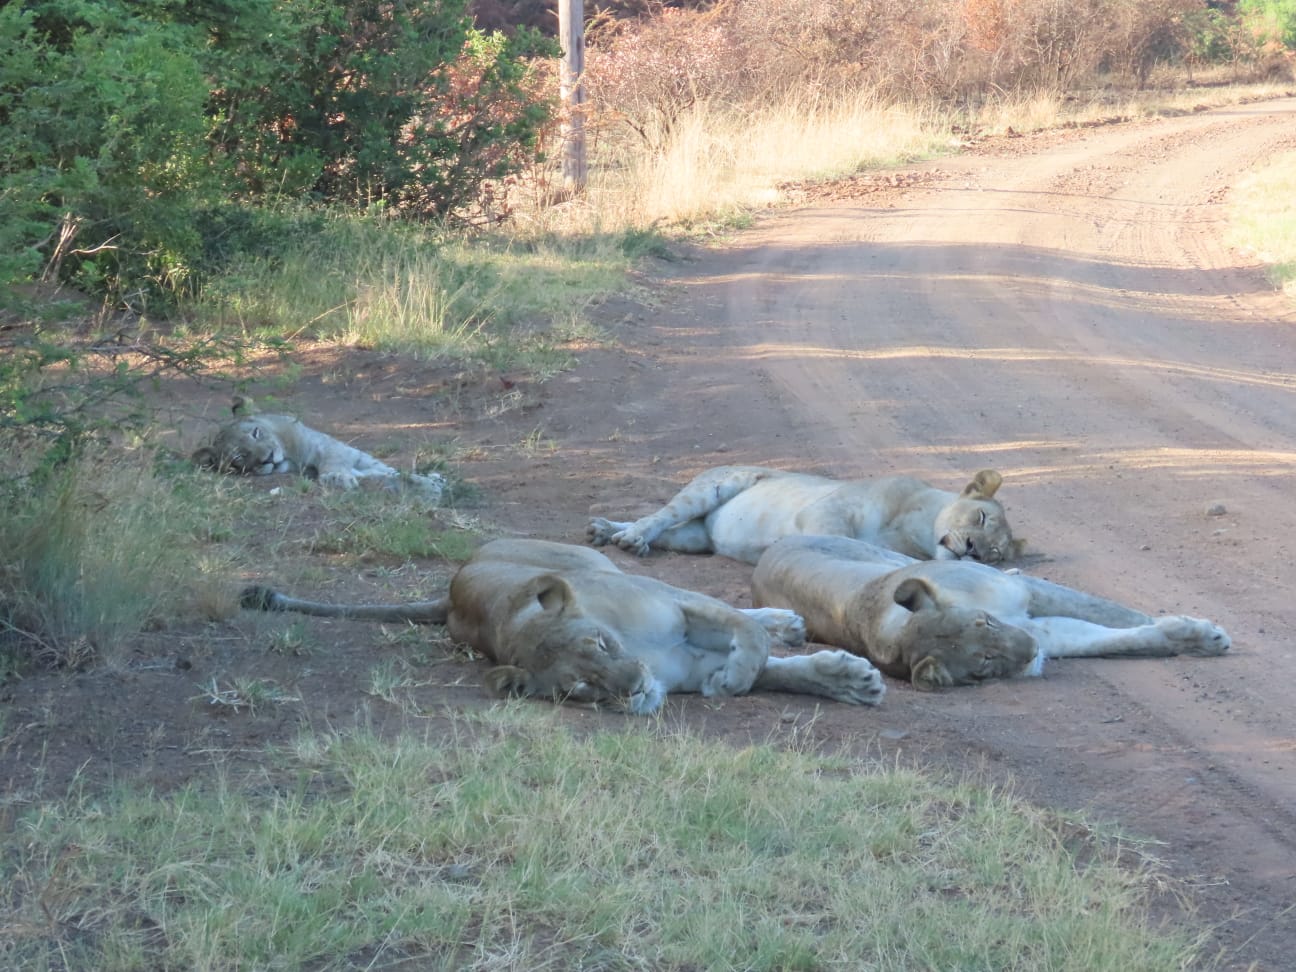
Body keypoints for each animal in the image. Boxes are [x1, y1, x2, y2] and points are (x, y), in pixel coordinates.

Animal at [192, 396, 445, 499]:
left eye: (256, 433)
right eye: (239, 458)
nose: (269, 458)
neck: (291, 457)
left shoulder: (325, 445)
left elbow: (333, 460)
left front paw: (336, 478)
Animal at [240, 538, 886, 714]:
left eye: (601, 641)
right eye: (580, 688)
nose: (633, 689)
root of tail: (449, 595)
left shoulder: (680, 604)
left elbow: (750, 645)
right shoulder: (686, 661)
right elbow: (771, 673)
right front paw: (844, 680)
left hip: (595, 560)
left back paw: (785, 619)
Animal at [750, 534, 1231, 691]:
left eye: (987, 621)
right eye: (983, 663)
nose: (1031, 649)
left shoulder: (1028, 596)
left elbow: (1118, 615)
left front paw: (1205, 636)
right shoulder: (1046, 628)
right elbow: (1120, 638)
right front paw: (1193, 637)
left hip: (886, 555)